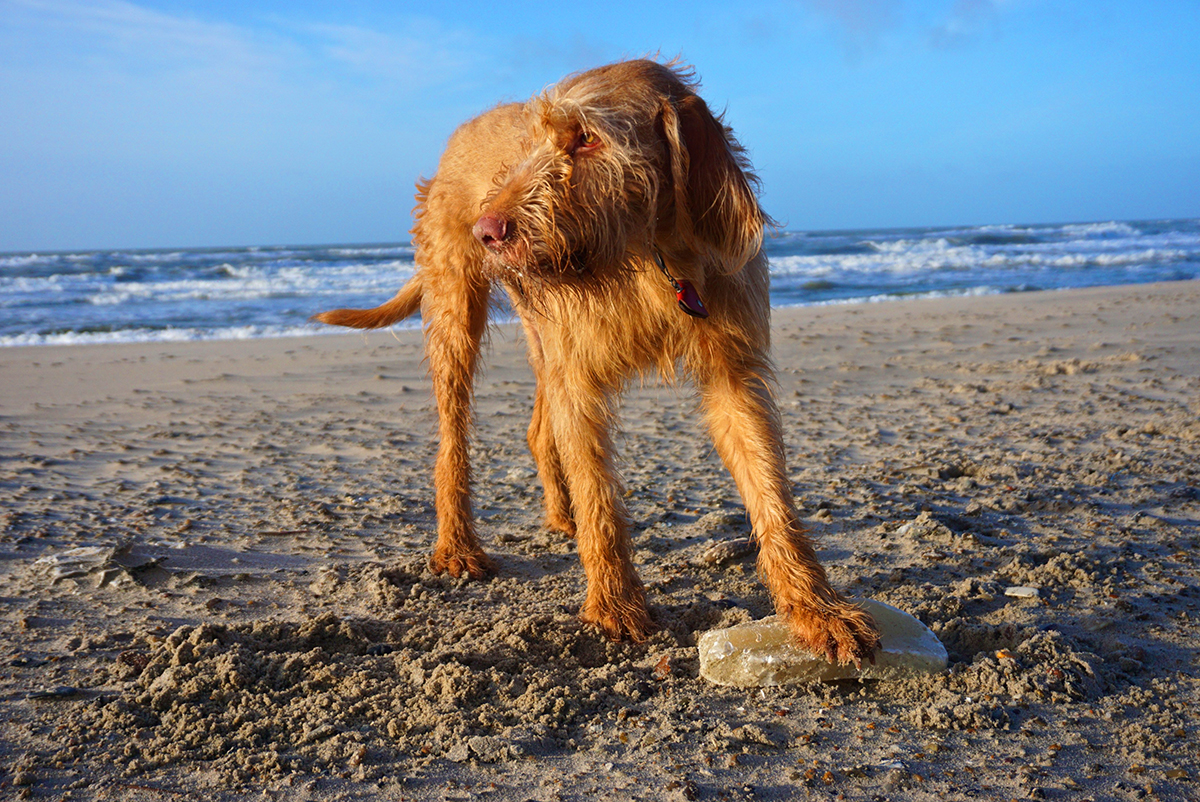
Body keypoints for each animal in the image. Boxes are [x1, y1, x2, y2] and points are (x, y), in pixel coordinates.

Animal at [316, 59, 883, 667]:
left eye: (587, 138)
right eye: (535, 142)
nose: (487, 230)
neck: (650, 257)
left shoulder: (732, 373)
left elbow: (772, 495)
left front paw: (816, 609)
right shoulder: (579, 378)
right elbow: (599, 498)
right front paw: (614, 607)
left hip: (540, 333)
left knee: (538, 429)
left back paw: (559, 517)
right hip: (456, 315)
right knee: (454, 440)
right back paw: (458, 546)